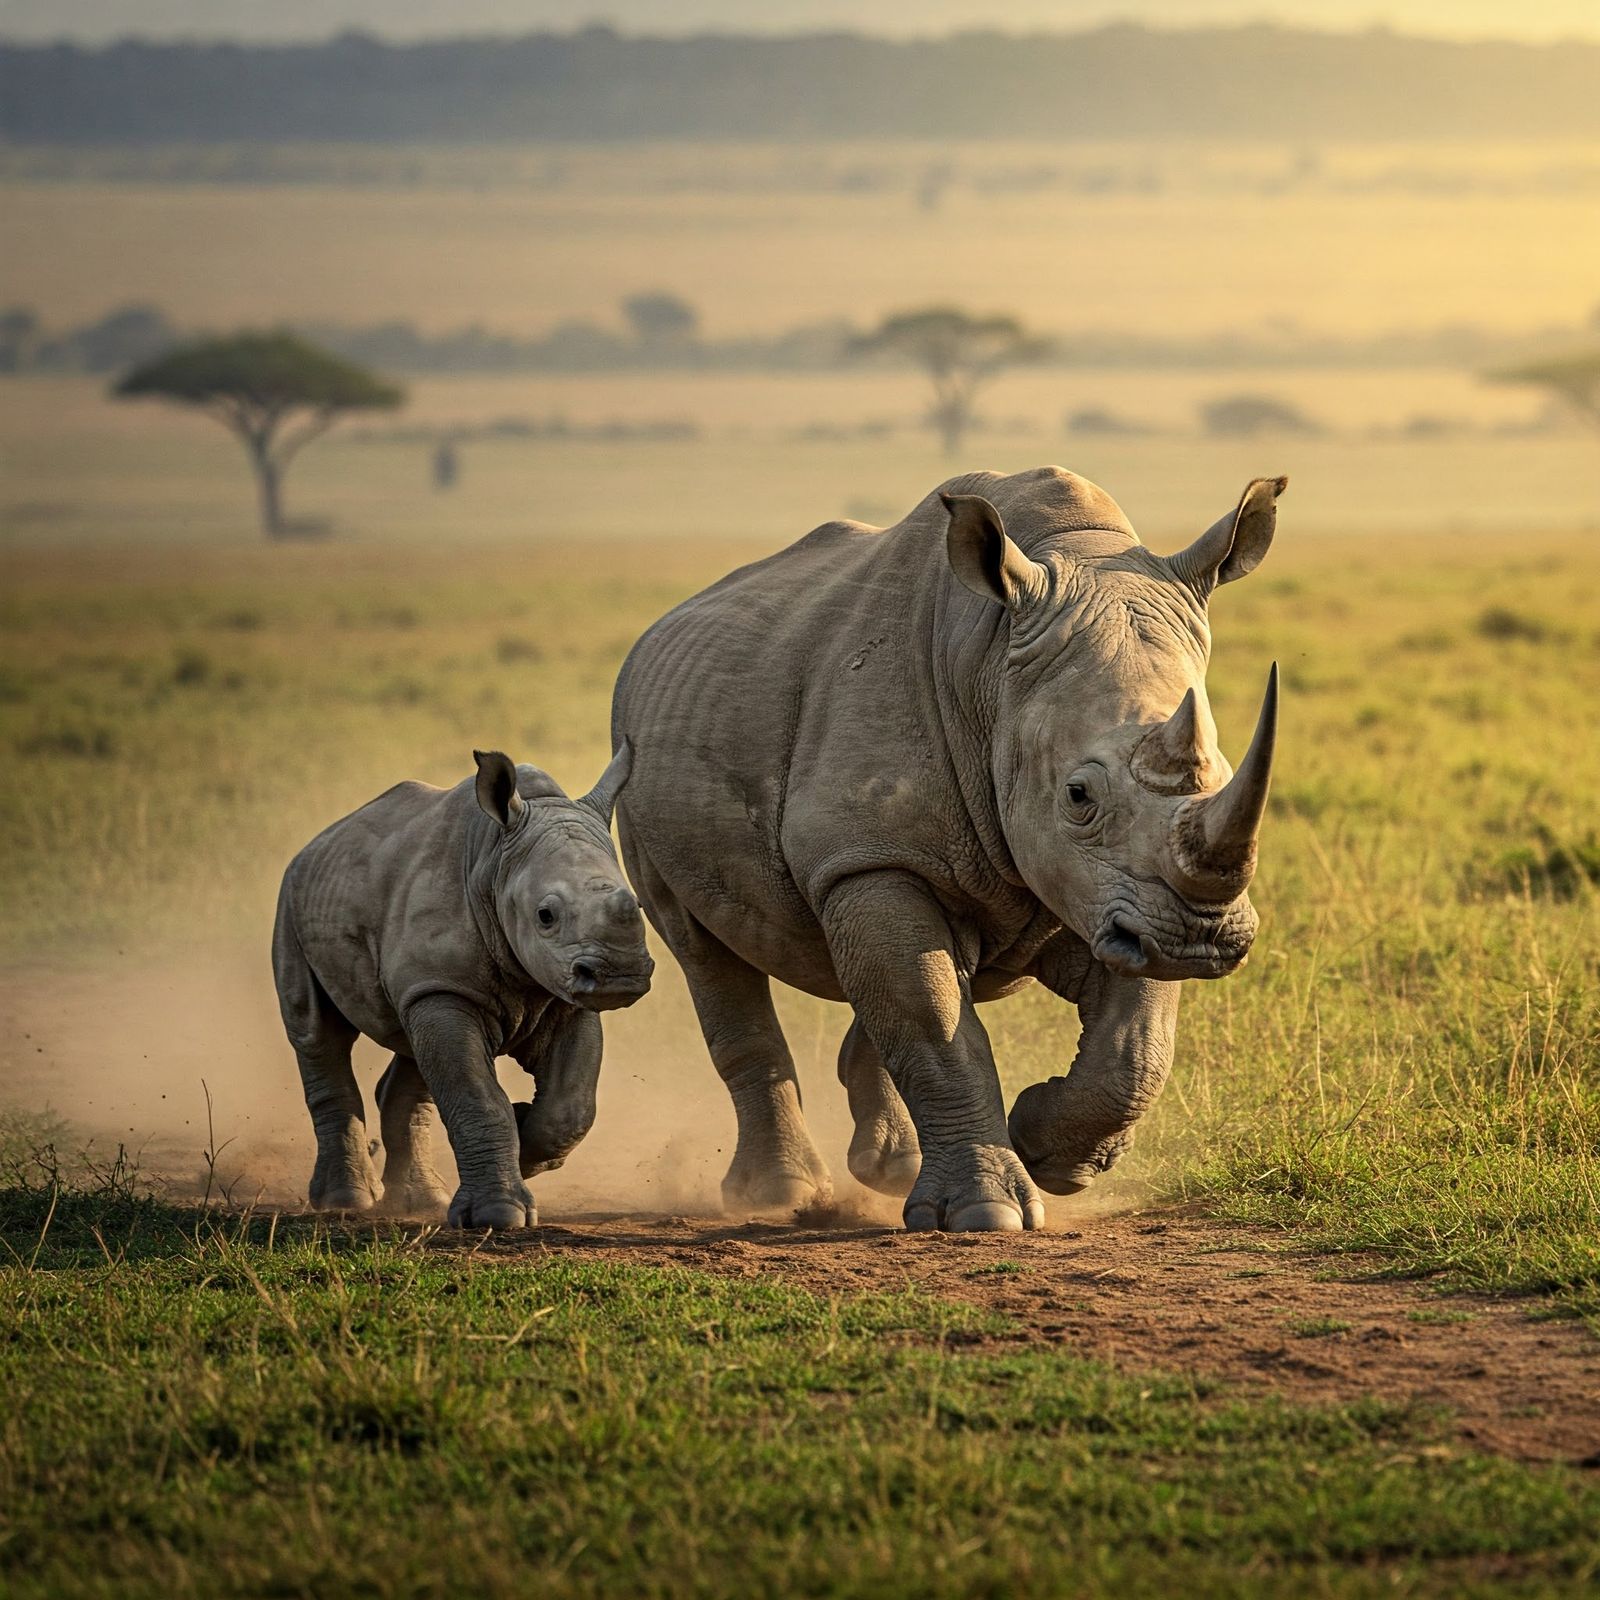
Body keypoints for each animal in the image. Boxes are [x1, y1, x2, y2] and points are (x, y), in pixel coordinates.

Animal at [272, 746, 652, 1228]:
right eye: (545, 915)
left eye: (638, 904)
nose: (621, 976)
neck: (496, 863)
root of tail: (316, 842)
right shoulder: (446, 986)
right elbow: (476, 1096)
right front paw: (498, 1216)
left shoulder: (564, 993)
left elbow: (572, 1105)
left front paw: (525, 1139)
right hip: (291, 900)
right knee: (318, 1034)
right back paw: (347, 1202)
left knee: (412, 1047)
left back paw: (419, 1203)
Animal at [611, 467, 1283, 1232]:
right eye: (1078, 795)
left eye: (1223, 774)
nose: (1203, 939)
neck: (990, 673)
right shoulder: (876, 854)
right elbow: (933, 1020)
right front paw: (987, 1214)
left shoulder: (1122, 897)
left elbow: (1136, 1044)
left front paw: (1048, 1151)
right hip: (637, 757)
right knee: (704, 951)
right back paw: (778, 1195)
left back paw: (889, 1167)